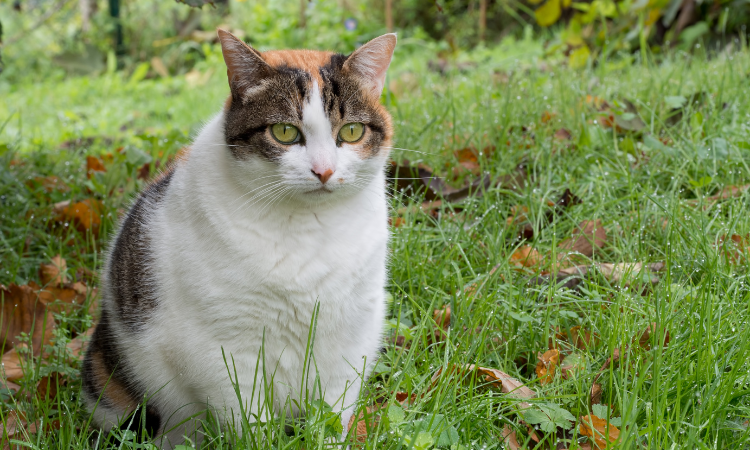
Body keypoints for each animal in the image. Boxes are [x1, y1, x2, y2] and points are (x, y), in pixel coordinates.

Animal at [81, 29, 400, 448]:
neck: (307, 229)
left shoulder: (351, 335)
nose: (324, 171)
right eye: (284, 132)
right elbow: (248, 419)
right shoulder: (223, 349)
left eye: (351, 131)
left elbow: (332, 414)